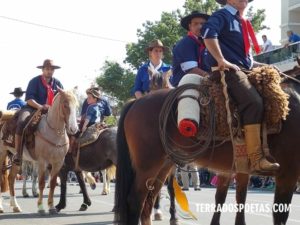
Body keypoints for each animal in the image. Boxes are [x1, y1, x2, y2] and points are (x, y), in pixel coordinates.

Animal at [113, 74, 300, 225]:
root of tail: (136, 101)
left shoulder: (237, 170)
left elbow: (233, 200)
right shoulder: (287, 175)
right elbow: (279, 215)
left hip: (163, 167)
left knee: (149, 202)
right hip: (147, 166)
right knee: (135, 201)